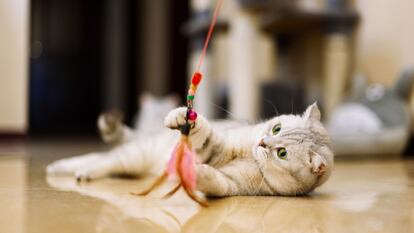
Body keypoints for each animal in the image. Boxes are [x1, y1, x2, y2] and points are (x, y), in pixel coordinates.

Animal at [47, 103, 334, 196]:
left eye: (282, 153)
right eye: (276, 128)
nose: (262, 142)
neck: (250, 155)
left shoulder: (230, 184)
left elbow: (216, 182)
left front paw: (199, 174)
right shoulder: (219, 145)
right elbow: (206, 137)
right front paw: (185, 118)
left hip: (132, 161)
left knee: (102, 159)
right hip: (133, 156)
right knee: (101, 159)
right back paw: (65, 168)